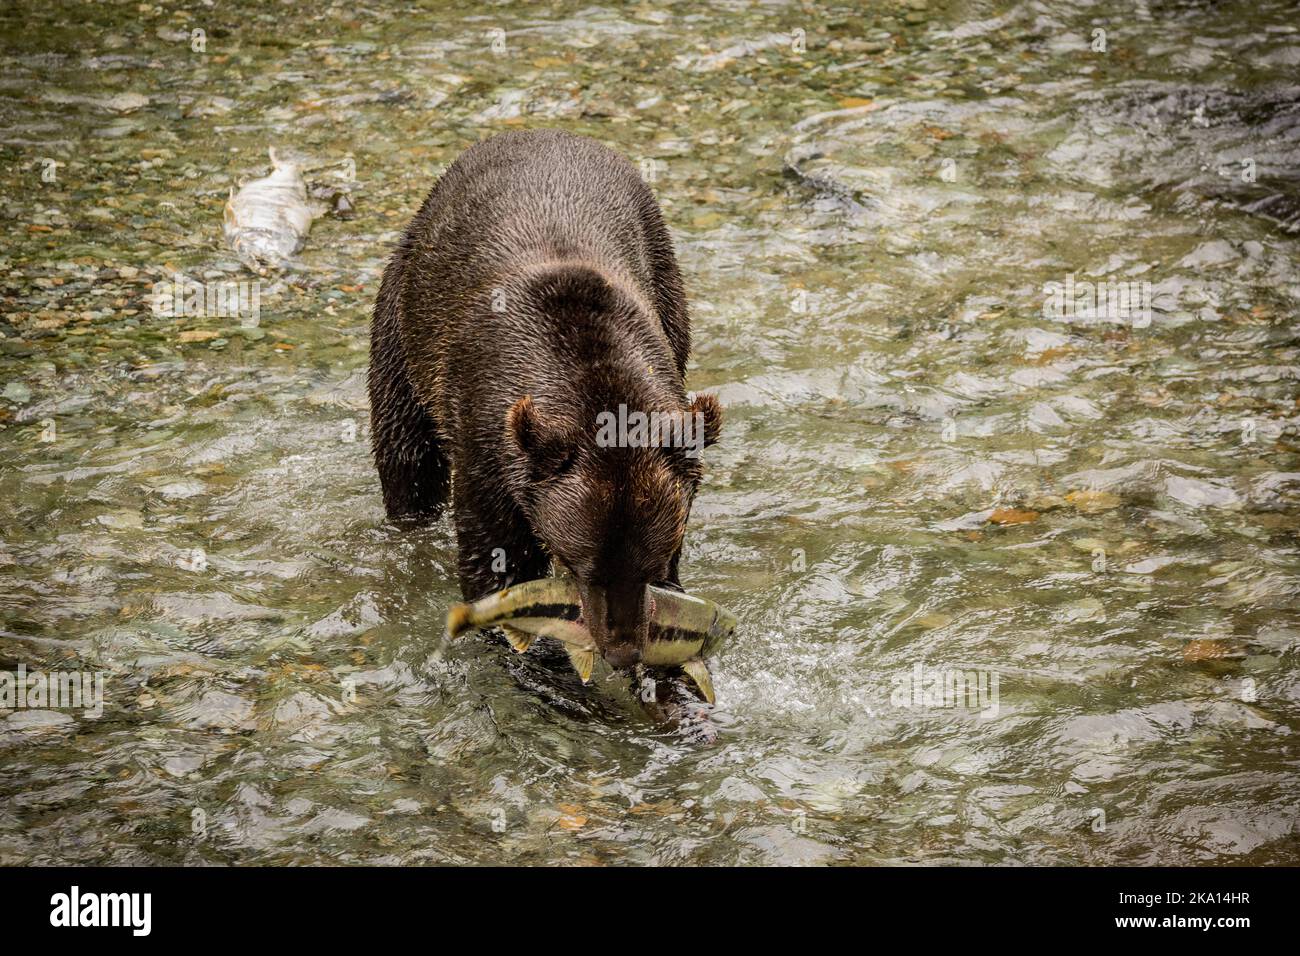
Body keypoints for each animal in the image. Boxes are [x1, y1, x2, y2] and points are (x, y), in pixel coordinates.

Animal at [369, 128, 722, 671]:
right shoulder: (490, 446)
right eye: (585, 565)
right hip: (406, 315)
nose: (623, 651)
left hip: (669, 284)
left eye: (652, 560)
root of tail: (537, 132)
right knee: (406, 453)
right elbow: (498, 562)